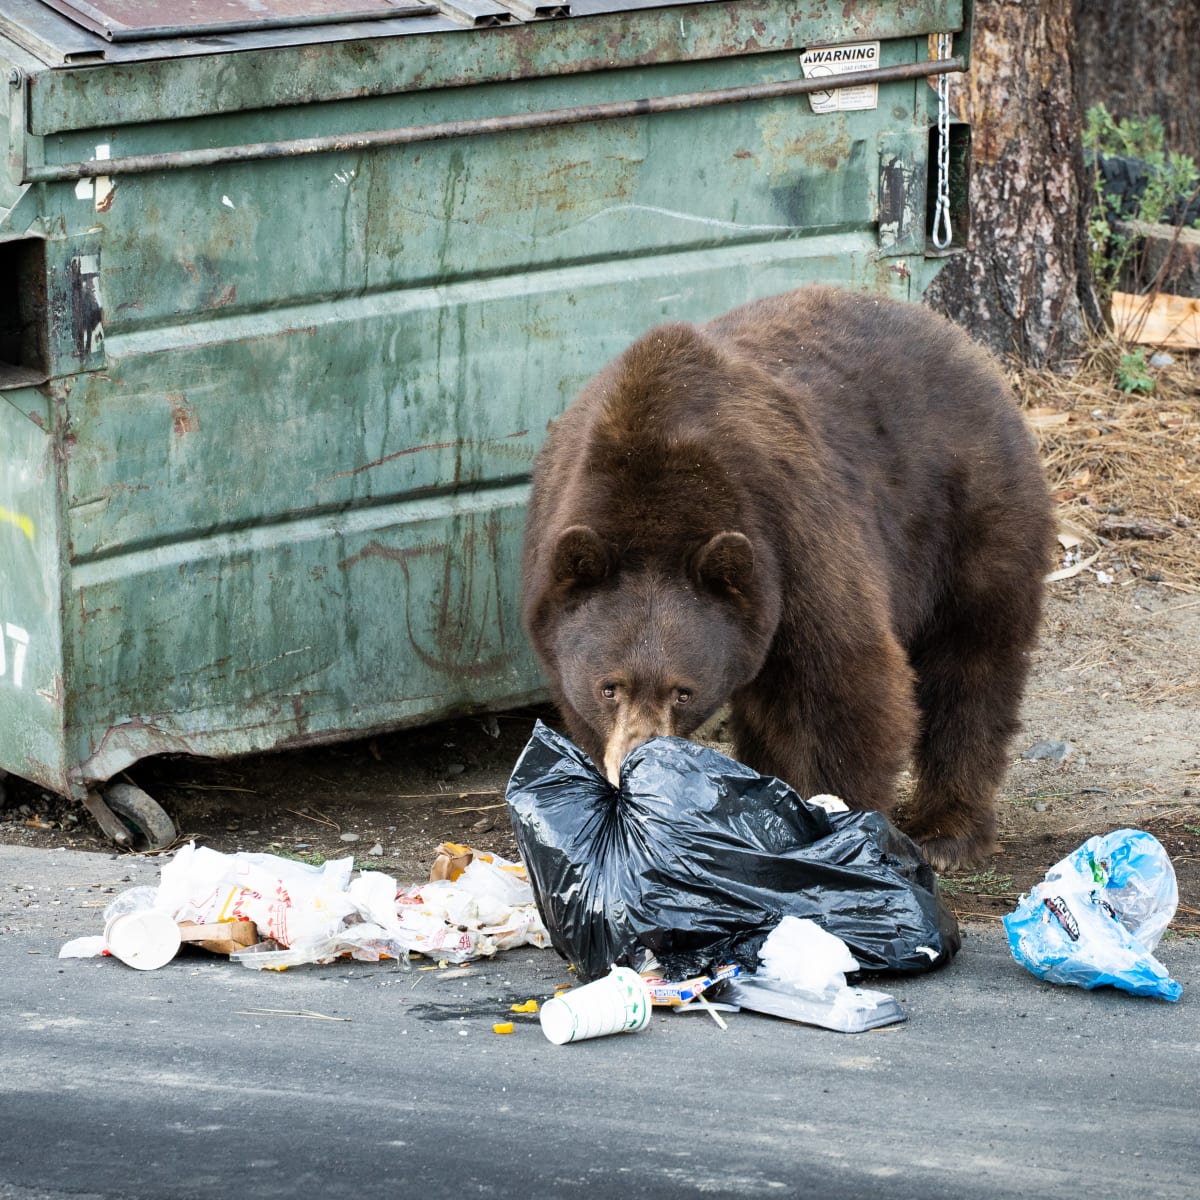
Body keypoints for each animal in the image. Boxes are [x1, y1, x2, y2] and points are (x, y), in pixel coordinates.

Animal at [520, 290, 1056, 873]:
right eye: (609, 686)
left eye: (683, 692)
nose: (632, 762)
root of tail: (963, 343)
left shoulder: (791, 534)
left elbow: (842, 684)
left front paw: (834, 819)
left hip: (969, 513)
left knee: (971, 664)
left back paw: (948, 832)